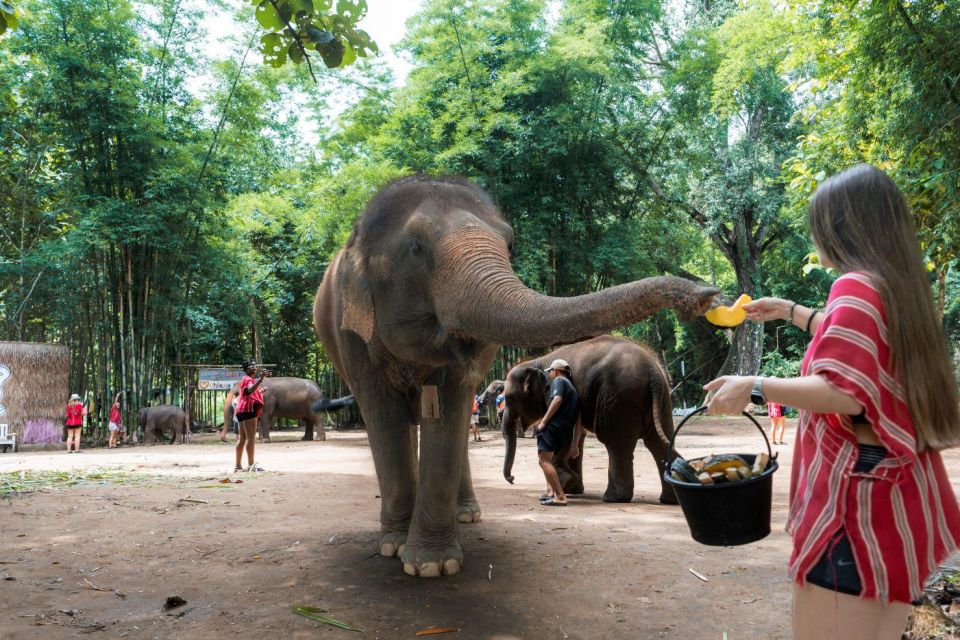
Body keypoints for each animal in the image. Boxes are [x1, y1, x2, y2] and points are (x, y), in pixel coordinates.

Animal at [500, 335, 676, 504]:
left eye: (509, 399)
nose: (512, 479)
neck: (536, 361)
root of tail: (652, 373)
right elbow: (577, 436)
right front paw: (573, 489)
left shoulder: (553, 391)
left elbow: (564, 431)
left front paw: (566, 483)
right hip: (661, 401)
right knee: (659, 442)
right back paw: (669, 499)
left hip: (619, 401)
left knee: (617, 445)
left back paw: (613, 499)